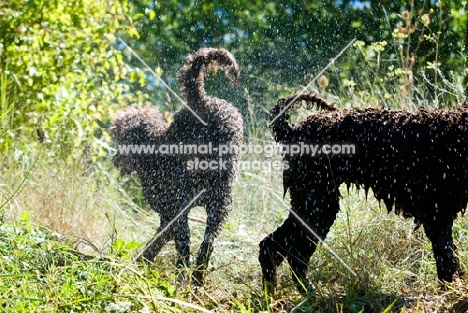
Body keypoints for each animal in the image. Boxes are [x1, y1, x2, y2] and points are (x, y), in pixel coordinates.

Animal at [111, 47, 243, 284]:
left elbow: (162, 240)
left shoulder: (170, 209)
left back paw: (183, 277)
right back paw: (197, 278)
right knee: (206, 243)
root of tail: (202, 101)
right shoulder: (172, 214)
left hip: (186, 200)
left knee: (186, 243)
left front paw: (139, 263)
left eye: (120, 139)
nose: (115, 159)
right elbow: (159, 240)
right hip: (220, 200)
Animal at [260, 92, 468, 292]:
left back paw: (277, 293)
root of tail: (294, 131)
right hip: (317, 203)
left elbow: (448, 255)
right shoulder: (437, 213)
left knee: (275, 247)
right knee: (290, 251)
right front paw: (449, 291)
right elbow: (446, 257)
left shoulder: (440, 214)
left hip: (310, 202)